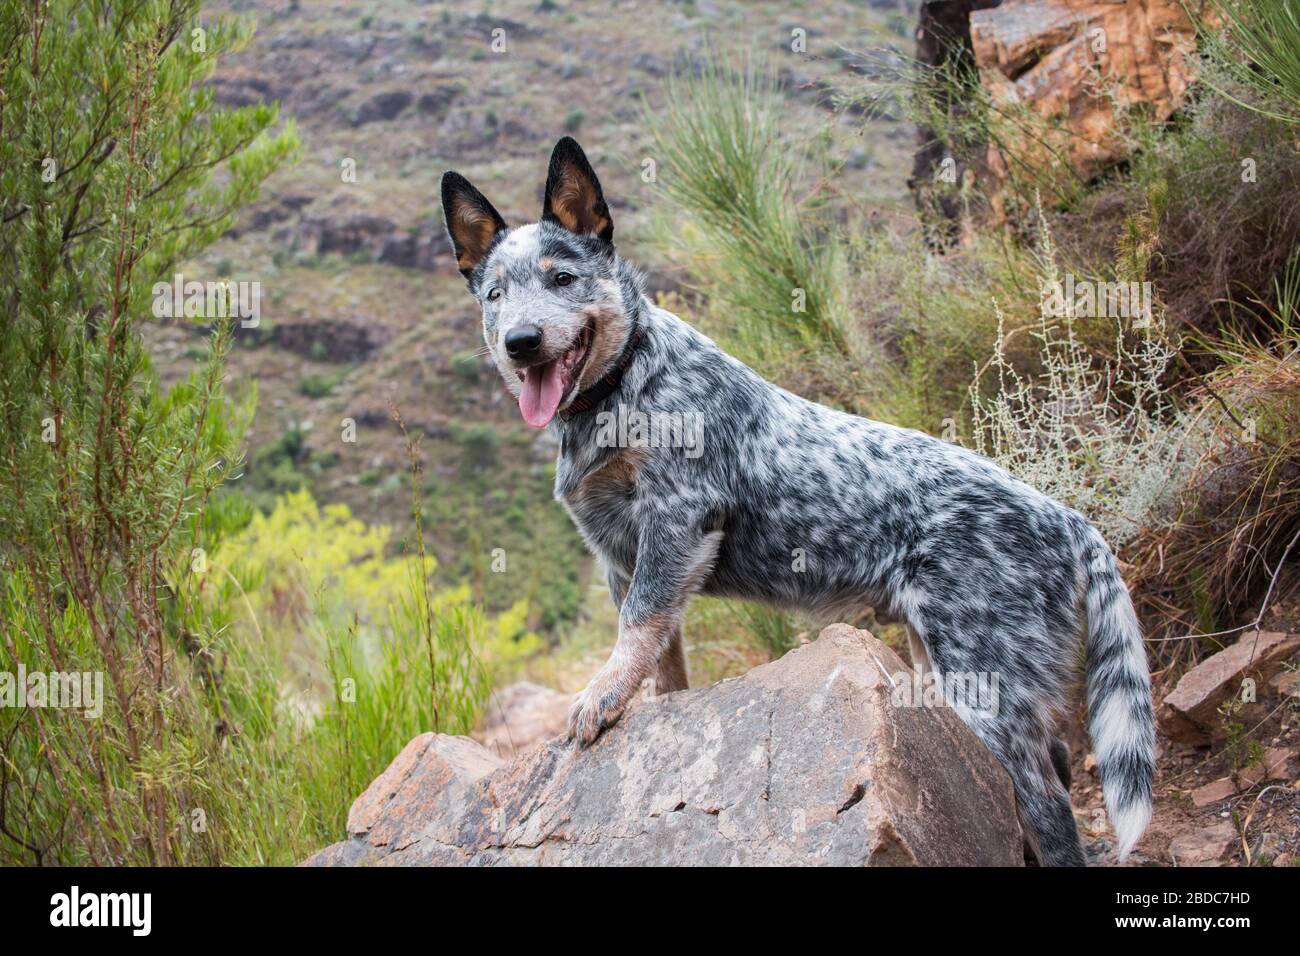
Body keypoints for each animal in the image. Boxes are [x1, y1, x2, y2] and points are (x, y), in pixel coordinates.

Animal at [441, 136, 1154, 868]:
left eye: (562, 278)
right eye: (495, 293)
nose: (520, 342)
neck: (623, 386)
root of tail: (1068, 519)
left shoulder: (677, 519)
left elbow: (636, 628)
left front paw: (599, 697)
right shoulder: (621, 557)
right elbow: (661, 659)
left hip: (986, 685)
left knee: (1050, 803)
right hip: (942, 665)